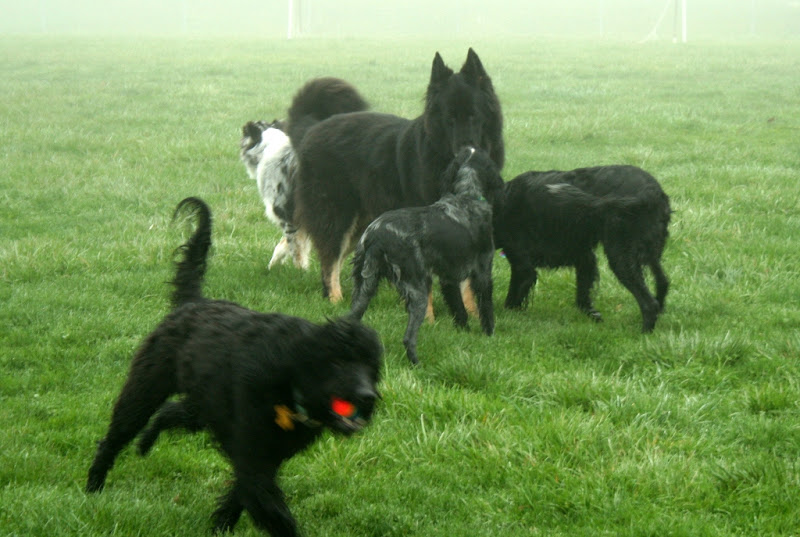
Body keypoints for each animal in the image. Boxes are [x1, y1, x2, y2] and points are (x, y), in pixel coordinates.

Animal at [86, 198, 384, 536]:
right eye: (336, 361)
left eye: (371, 367)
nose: (367, 396)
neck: (289, 376)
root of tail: (193, 301)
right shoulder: (254, 458)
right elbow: (273, 511)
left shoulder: (263, 455)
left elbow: (238, 496)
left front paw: (220, 527)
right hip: (144, 389)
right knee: (115, 436)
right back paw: (94, 486)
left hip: (201, 405)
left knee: (171, 412)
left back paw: (145, 443)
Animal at [288, 48, 504, 304]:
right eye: (448, 119)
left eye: (473, 116)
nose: (465, 150)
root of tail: (312, 129)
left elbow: (467, 283)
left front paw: (470, 312)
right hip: (338, 215)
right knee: (329, 259)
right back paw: (335, 300)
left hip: (361, 223)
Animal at [348, 147, 504, 364]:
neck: (467, 197)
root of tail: (375, 236)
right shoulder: (482, 272)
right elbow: (486, 308)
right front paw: (489, 334)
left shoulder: (448, 278)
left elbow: (459, 310)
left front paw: (463, 333)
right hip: (418, 289)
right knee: (408, 337)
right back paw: (416, 363)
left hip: (364, 287)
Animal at [494, 163, 668, 330]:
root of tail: (652, 192)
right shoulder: (584, 257)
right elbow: (582, 296)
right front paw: (593, 315)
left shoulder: (522, 266)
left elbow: (511, 298)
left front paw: (505, 316)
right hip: (651, 253)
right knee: (663, 282)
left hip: (620, 256)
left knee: (648, 303)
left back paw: (644, 332)